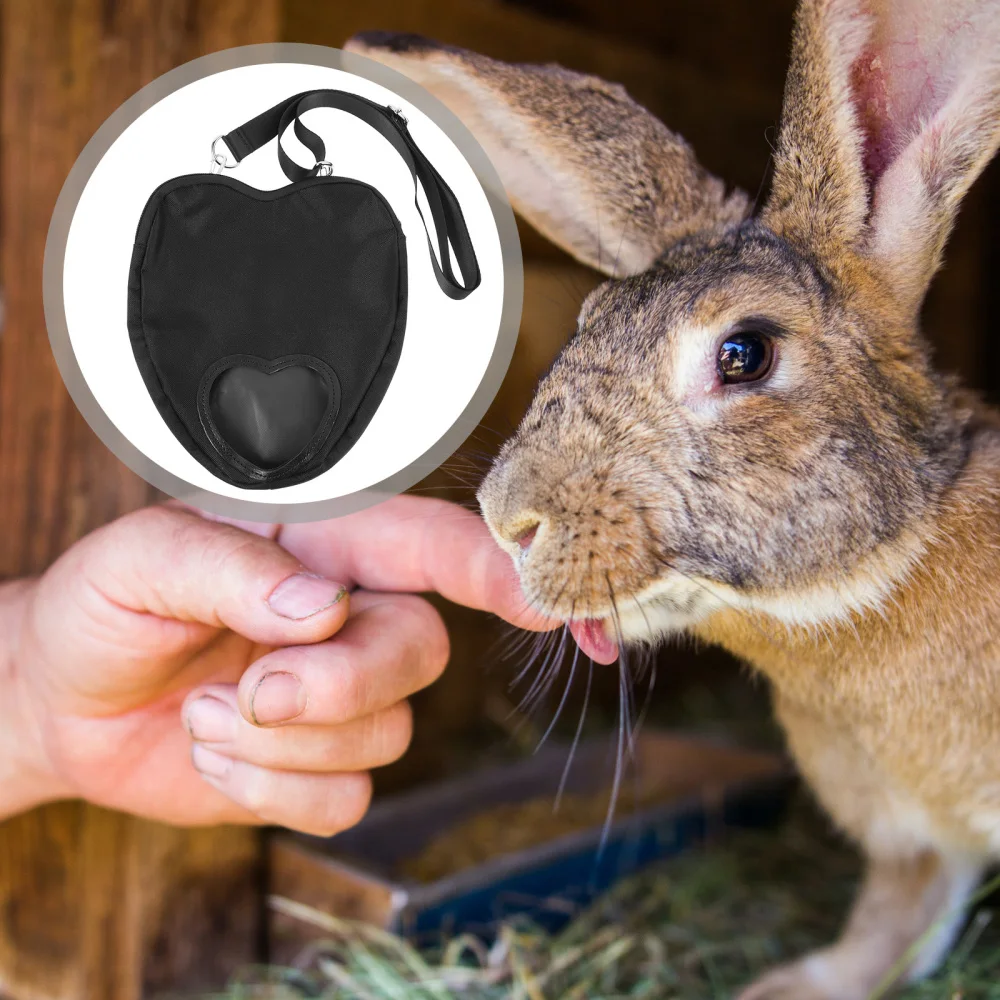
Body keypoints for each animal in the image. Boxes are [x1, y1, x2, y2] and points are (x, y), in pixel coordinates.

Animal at [347, 2, 1000, 997]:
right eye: (586, 326)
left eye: (745, 353)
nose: (510, 520)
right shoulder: (908, 837)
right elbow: (896, 913)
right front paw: (794, 986)